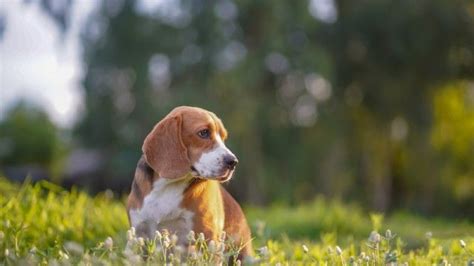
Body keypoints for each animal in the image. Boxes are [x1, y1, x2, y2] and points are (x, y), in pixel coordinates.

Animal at [126, 106, 252, 258]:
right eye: (203, 133)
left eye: (223, 137)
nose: (233, 162)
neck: (167, 186)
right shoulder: (139, 232)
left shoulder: (208, 236)